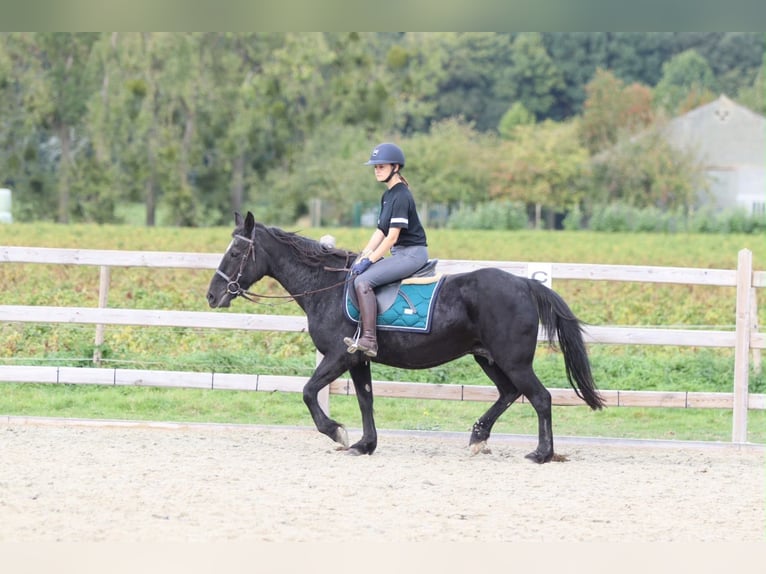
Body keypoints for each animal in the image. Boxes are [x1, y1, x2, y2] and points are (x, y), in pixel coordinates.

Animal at [206, 211, 605, 463]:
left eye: (237, 252)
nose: (212, 296)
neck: (326, 287)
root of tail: (524, 283)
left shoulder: (338, 356)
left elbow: (307, 392)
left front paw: (336, 432)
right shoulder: (358, 359)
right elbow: (366, 400)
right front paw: (365, 444)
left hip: (513, 360)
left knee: (539, 398)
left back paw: (541, 454)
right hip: (488, 357)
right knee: (509, 393)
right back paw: (479, 437)